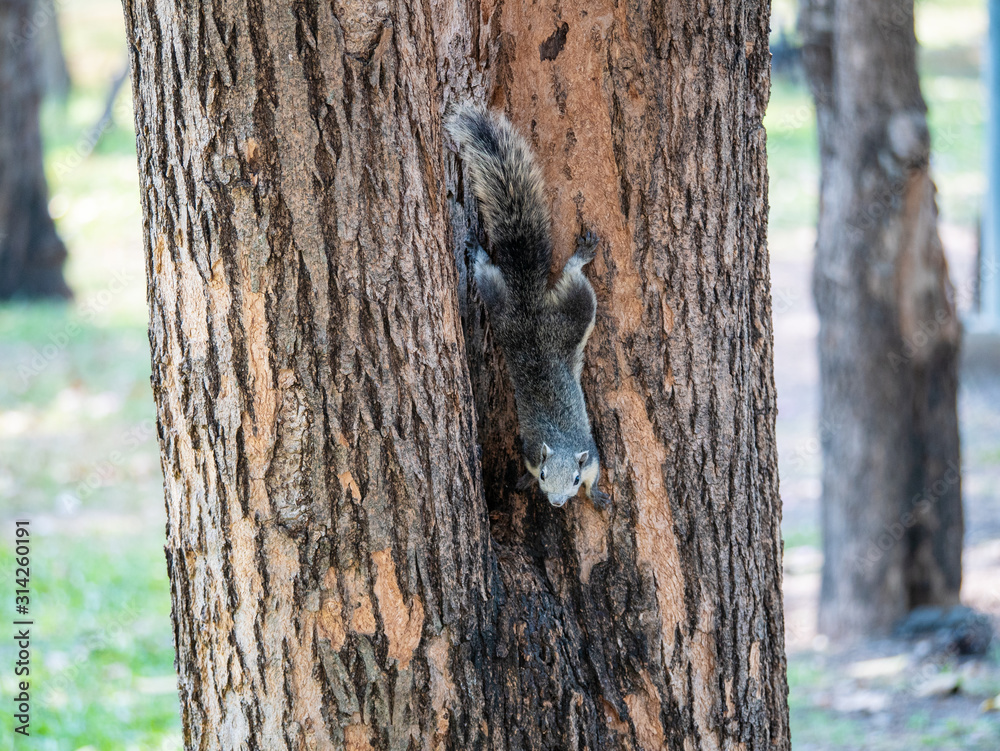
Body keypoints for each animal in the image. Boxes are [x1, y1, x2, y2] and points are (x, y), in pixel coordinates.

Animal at [446, 105, 609, 510]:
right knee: (499, 275)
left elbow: (597, 475)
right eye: (545, 474)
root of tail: (527, 307)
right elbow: (526, 466)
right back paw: (478, 251)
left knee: (570, 278)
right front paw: (523, 479)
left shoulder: (591, 456)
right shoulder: (533, 451)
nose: (556, 503)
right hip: (510, 307)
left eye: (575, 478)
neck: (562, 444)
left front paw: (596, 495)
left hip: (560, 310)